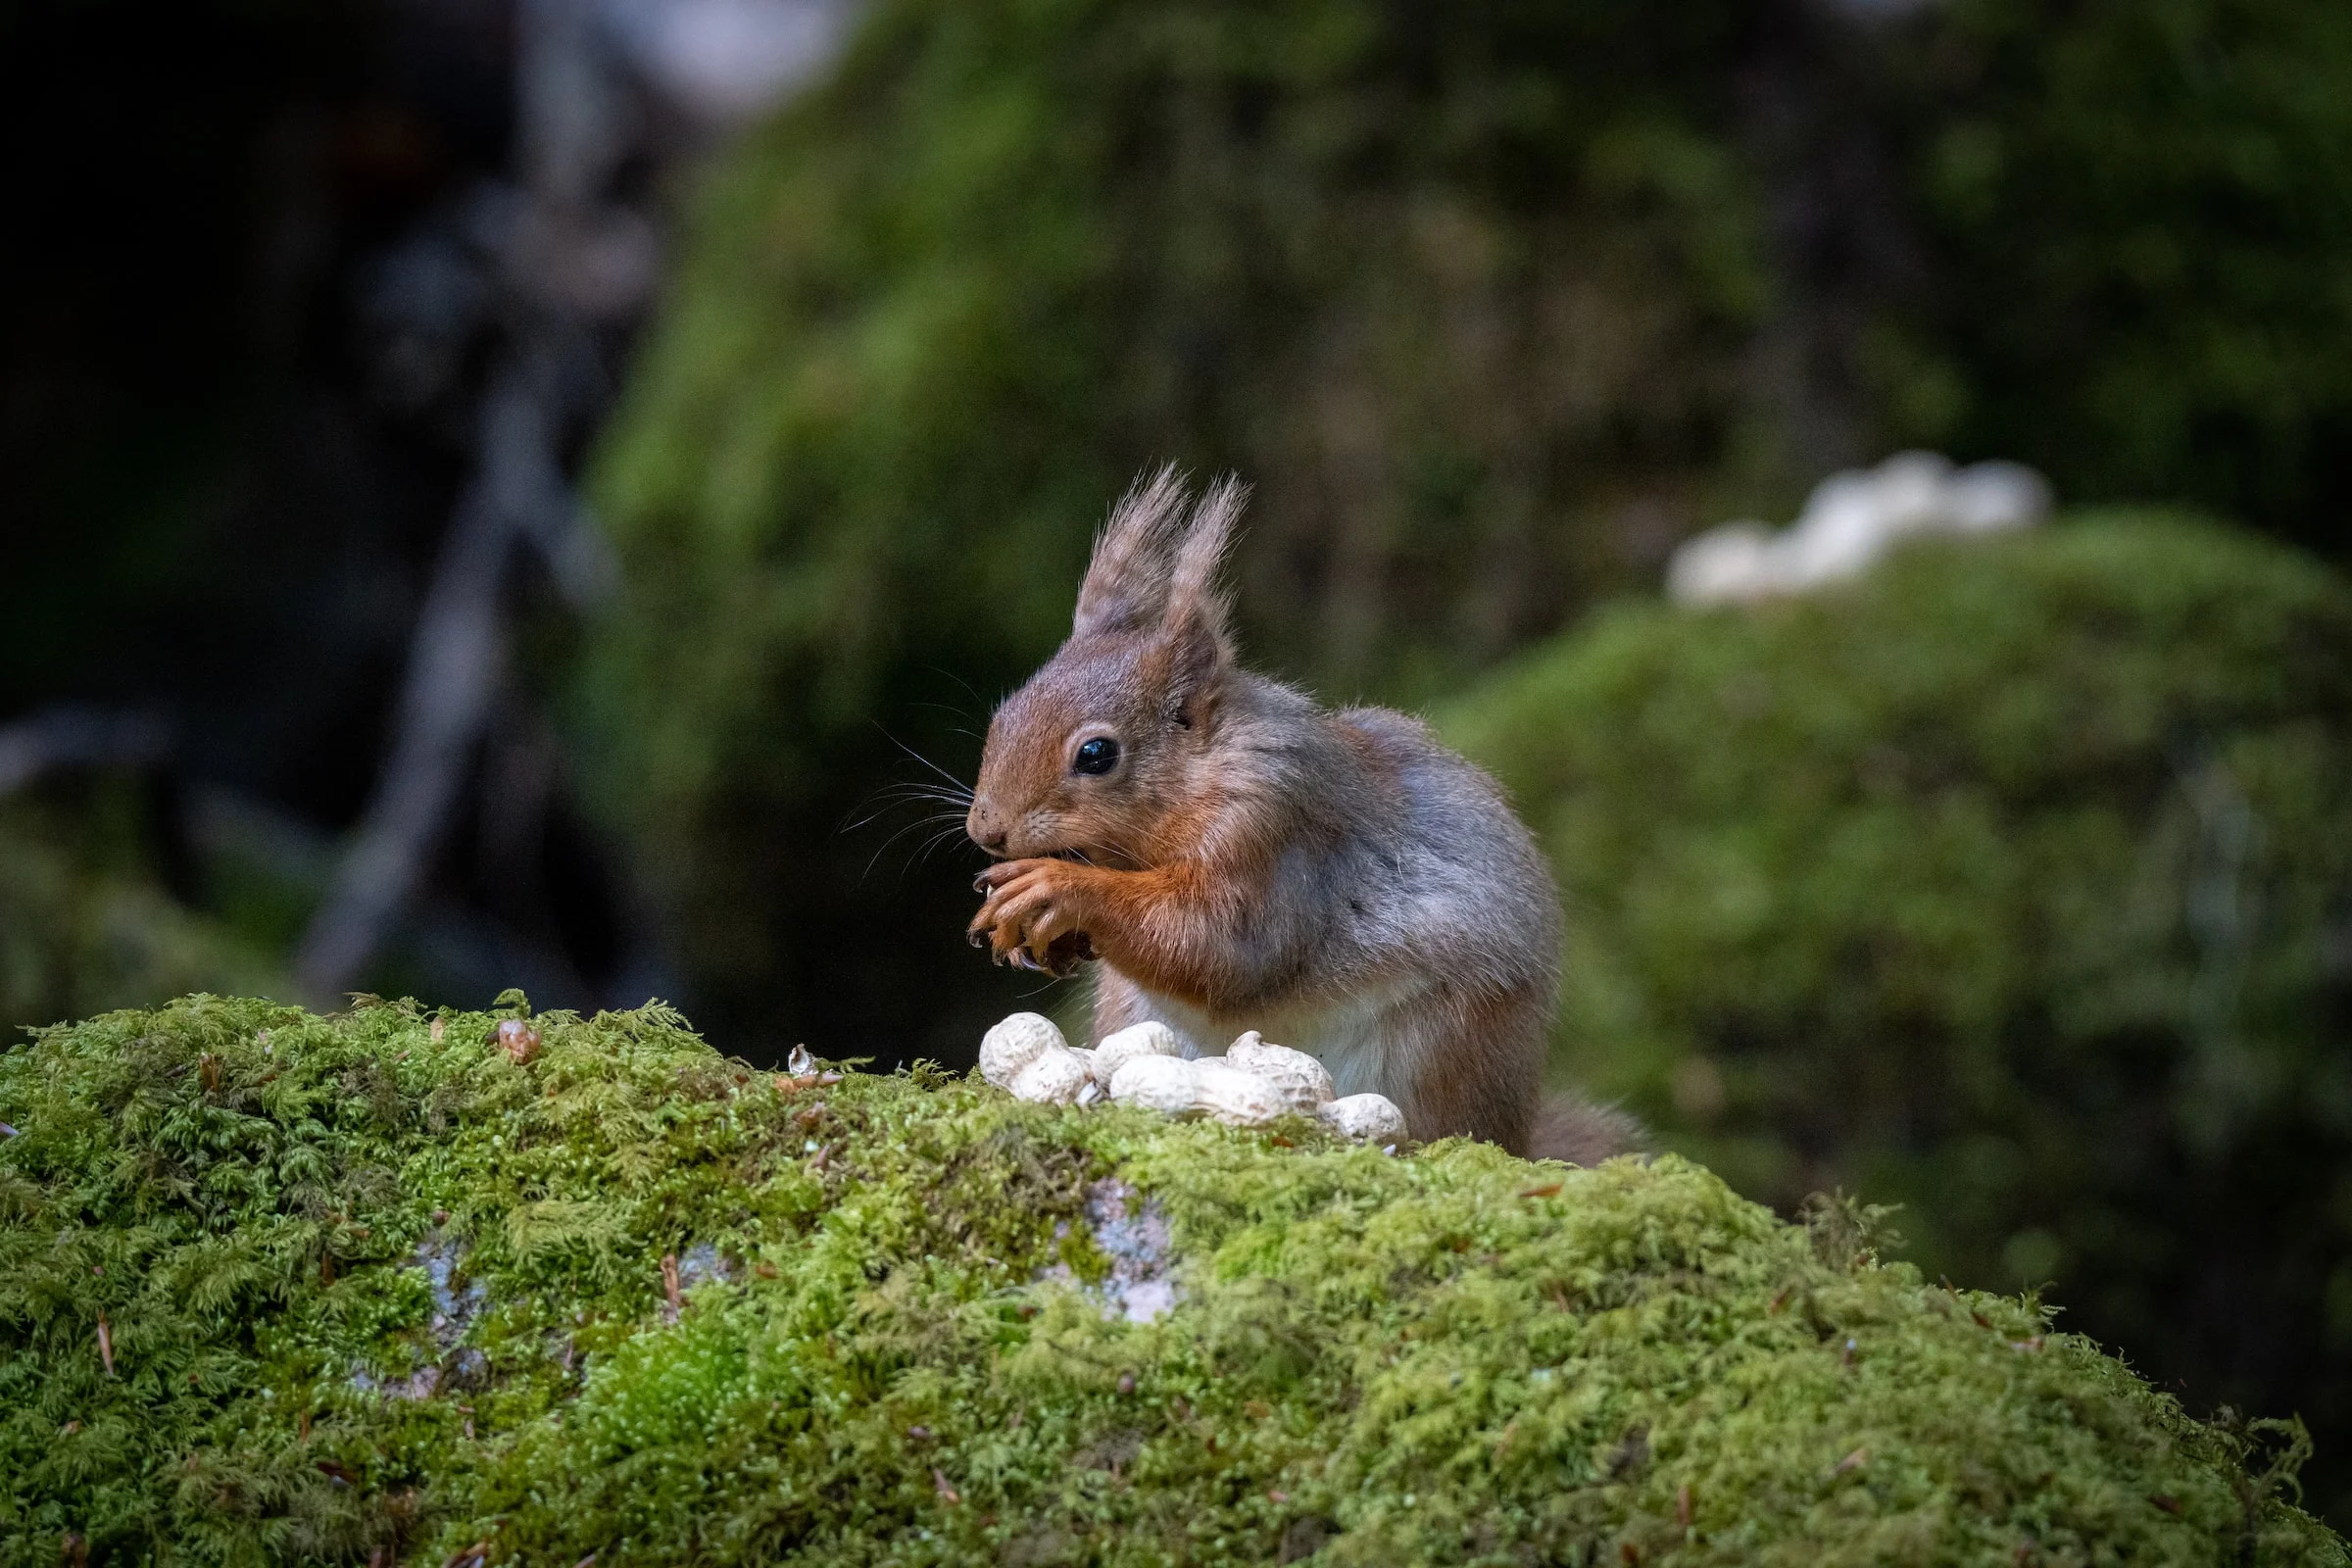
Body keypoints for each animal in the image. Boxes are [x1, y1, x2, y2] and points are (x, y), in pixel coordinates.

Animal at [964, 468, 1636, 1161]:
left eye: (1097, 754)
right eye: (1006, 711)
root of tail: (1516, 1130)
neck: (1203, 778)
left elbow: (1219, 947)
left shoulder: (1272, 834)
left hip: (1438, 1053)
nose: (985, 829)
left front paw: (1059, 888)